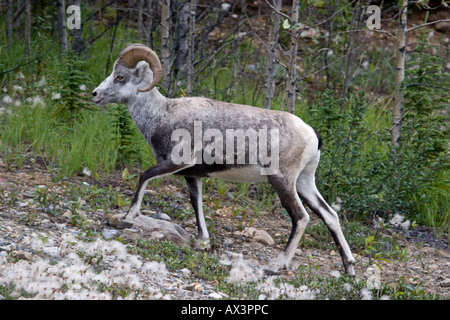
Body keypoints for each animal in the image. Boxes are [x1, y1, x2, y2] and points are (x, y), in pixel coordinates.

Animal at [93, 43, 356, 276]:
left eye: (120, 77)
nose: (95, 94)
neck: (161, 114)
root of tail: (312, 133)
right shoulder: (193, 175)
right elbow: (196, 204)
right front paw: (203, 241)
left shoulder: (177, 163)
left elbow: (144, 176)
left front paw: (128, 217)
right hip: (304, 182)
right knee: (330, 215)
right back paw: (349, 268)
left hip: (282, 181)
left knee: (301, 218)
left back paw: (276, 265)